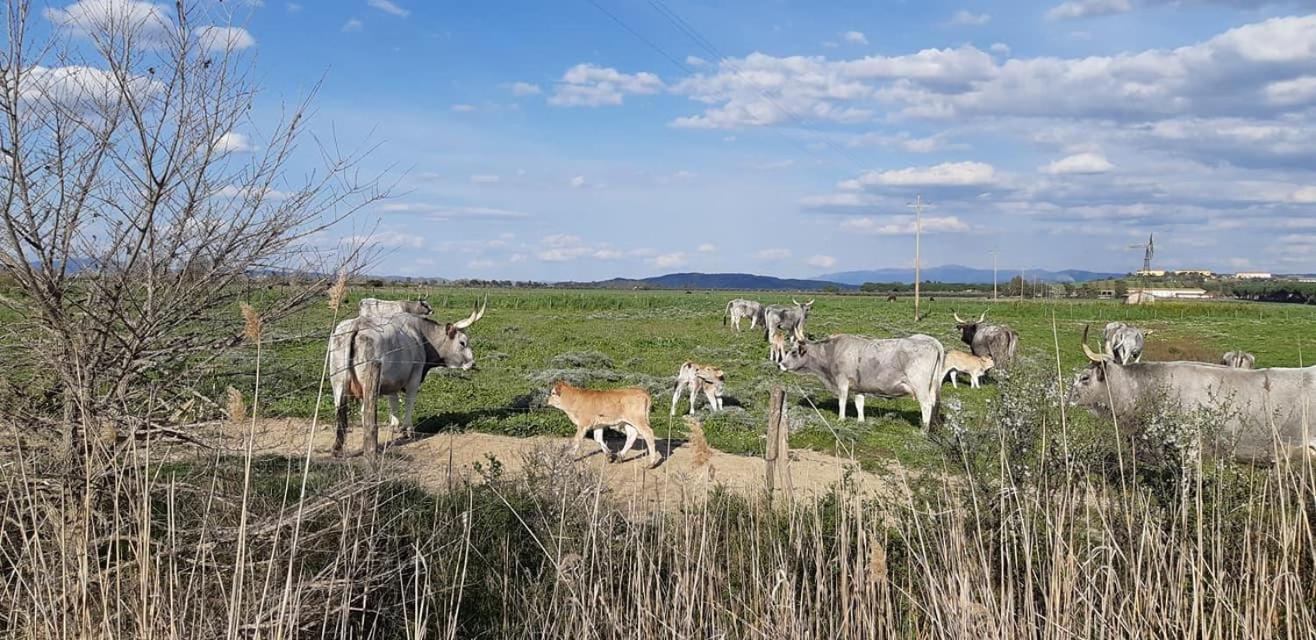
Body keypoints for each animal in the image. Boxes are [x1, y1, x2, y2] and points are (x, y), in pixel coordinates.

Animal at [329, 297, 489, 458]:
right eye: (462, 342)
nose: (472, 363)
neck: (421, 335)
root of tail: (357, 324)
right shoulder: (414, 378)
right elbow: (409, 403)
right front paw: (408, 430)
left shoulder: (391, 381)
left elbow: (393, 403)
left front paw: (395, 426)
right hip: (368, 388)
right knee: (364, 412)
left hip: (338, 383)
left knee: (340, 411)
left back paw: (339, 447)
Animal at [773, 331, 942, 426]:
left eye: (794, 352)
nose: (780, 365)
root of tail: (931, 341)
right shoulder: (858, 387)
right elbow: (859, 404)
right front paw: (861, 421)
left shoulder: (842, 382)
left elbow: (842, 402)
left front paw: (841, 419)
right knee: (933, 404)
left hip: (920, 386)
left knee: (926, 405)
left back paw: (924, 429)